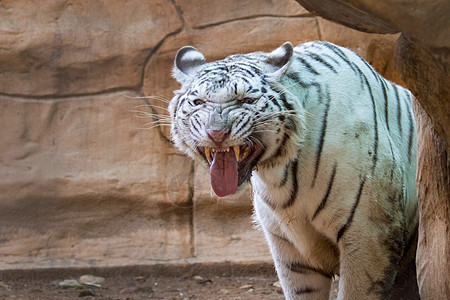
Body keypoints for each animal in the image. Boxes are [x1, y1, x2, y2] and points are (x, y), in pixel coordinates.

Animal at [169, 41, 418, 298]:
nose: (216, 133)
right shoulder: (289, 250)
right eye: (199, 102)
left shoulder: (369, 235)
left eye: (246, 100)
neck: (281, 172)